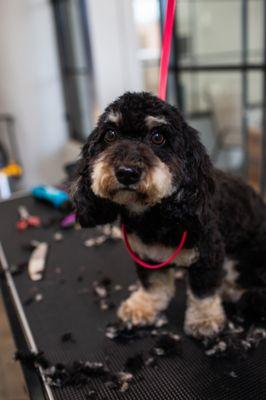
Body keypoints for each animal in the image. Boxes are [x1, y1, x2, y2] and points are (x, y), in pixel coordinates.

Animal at [71, 91, 266, 338]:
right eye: (110, 135)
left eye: (157, 137)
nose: (127, 172)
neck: (155, 218)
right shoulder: (146, 256)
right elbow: (153, 285)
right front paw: (143, 306)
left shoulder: (209, 254)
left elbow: (203, 291)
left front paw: (204, 319)